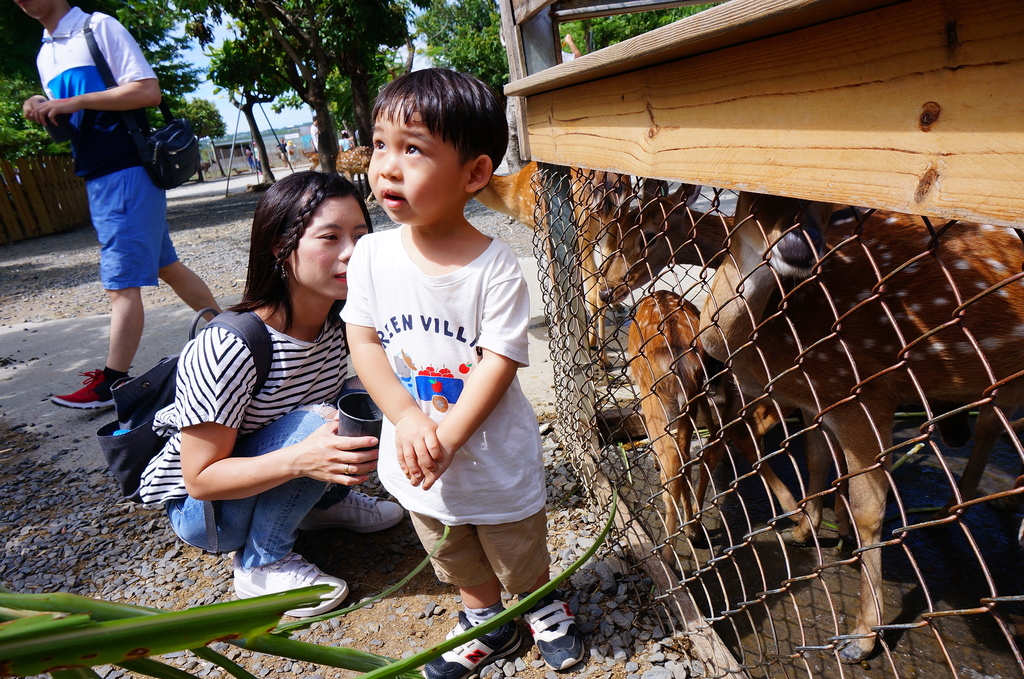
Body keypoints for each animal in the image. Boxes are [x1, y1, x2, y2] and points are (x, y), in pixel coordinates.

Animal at [700, 192, 1024, 663]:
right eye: (754, 198)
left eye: (822, 201)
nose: (800, 247)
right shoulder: (820, 399)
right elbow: (817, 461)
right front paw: (803, 530)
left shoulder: (862, 392)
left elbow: (868, 509)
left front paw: (862, 637)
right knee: (989, 427)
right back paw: (954, 509)